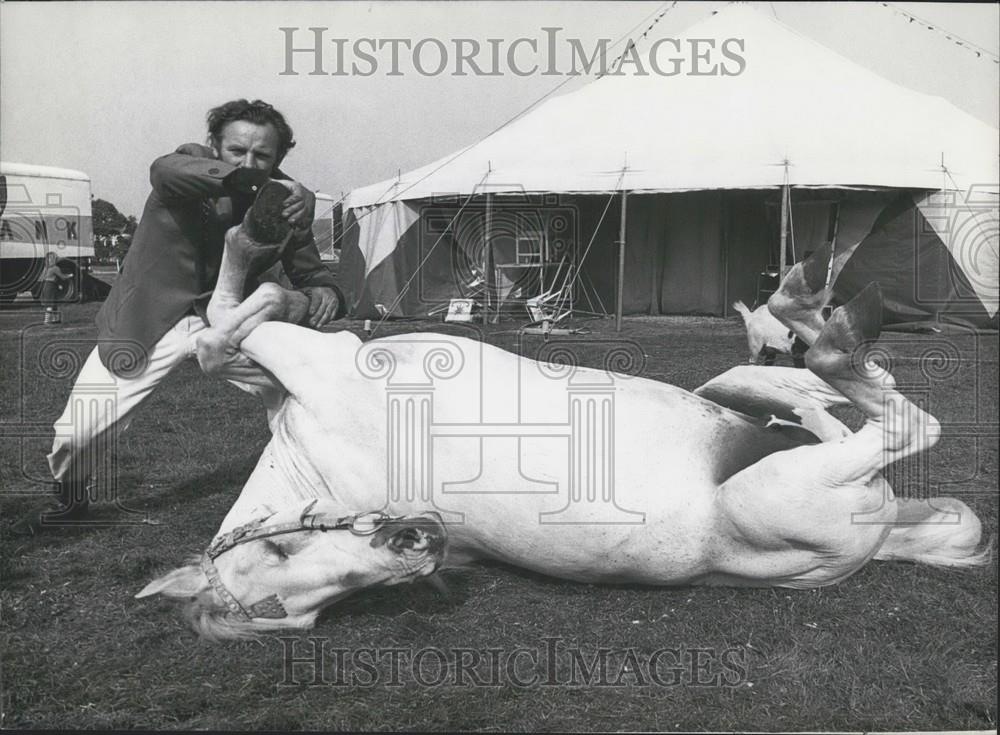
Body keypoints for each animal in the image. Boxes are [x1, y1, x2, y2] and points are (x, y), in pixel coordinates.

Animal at [137, 184, 988, 640]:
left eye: (284, 553)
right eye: (319, 604)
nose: (419, 539)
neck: (314, 457)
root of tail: (865, 546)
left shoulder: (293, 373)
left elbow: (221, 329)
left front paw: (261, 249)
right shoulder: (313, 365)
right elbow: (223, 320)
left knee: (790, 404)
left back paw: (791, 381)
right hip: (791, 491)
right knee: (904, 428)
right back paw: (820, 341)